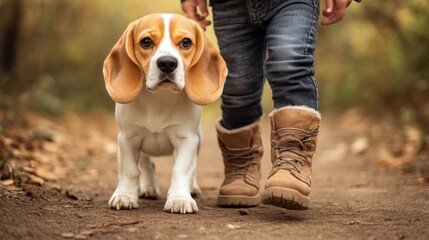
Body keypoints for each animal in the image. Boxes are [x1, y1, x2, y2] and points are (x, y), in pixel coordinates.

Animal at [102, 12, 227, 214]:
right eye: (146, 42)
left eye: (186, 42)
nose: (167, 63)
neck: (160, 98)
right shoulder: (127, 138)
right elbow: (130, 170)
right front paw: (125, 196)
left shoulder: (186, 140)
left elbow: (181, 169)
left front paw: (180, 199)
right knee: (146, 164)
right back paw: (149, 188)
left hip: (198, 141)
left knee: (193, 167)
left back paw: (191, 188)